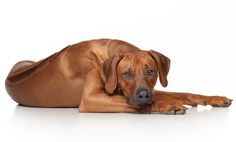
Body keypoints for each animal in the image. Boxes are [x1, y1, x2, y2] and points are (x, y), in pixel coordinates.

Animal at [5, 38, 232, 114]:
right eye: (126, 74)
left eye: (151, 71)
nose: (143, 95)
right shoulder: (91, 99)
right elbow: (140, 103)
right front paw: (167, 104)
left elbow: (183, 93)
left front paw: (215, 99)